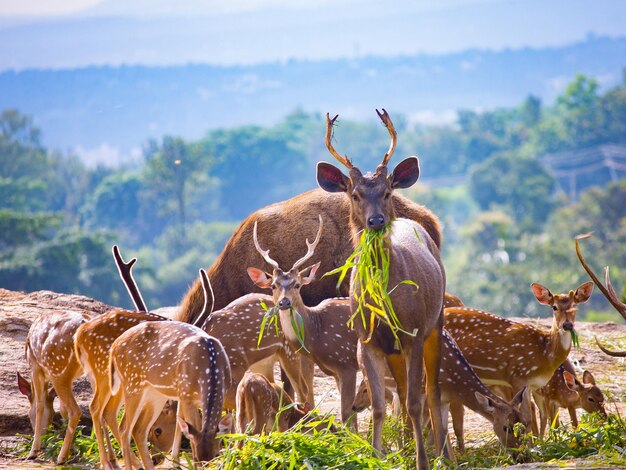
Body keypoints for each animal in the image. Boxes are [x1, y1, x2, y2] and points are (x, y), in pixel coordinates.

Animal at [109, 320, 232, 470]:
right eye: (197, 457)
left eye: (216, 455)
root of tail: (114, 346)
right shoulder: (186, 395)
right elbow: (191, 432)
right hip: (132, 384)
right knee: (124, 429)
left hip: (154, 393)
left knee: (139, 429)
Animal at [246, 215, 358, 428]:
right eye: (273, 285)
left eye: (297, 285)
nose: (284, 302)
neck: (317, 333)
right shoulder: (336, 371)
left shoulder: (346, 363)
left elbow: (348, 413)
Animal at [316, 108, 444, 468]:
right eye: (355, 194)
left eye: (387, 192)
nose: (376, 221)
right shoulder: (368, 340)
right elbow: (377, 407)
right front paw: (377, 455)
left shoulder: (413, 332)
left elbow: (414, 402)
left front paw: (422, 461)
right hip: (393, 350)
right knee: (400, 392)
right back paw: (407, 445)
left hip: (435, 323)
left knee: (431, 392)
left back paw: (443, 453)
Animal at [442, 280, 592, 436]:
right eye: (554, 307)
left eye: (575, 306)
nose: (567, 325)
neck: (545, 354)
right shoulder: (518, 377)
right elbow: (527, 417)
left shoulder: (532, 385)